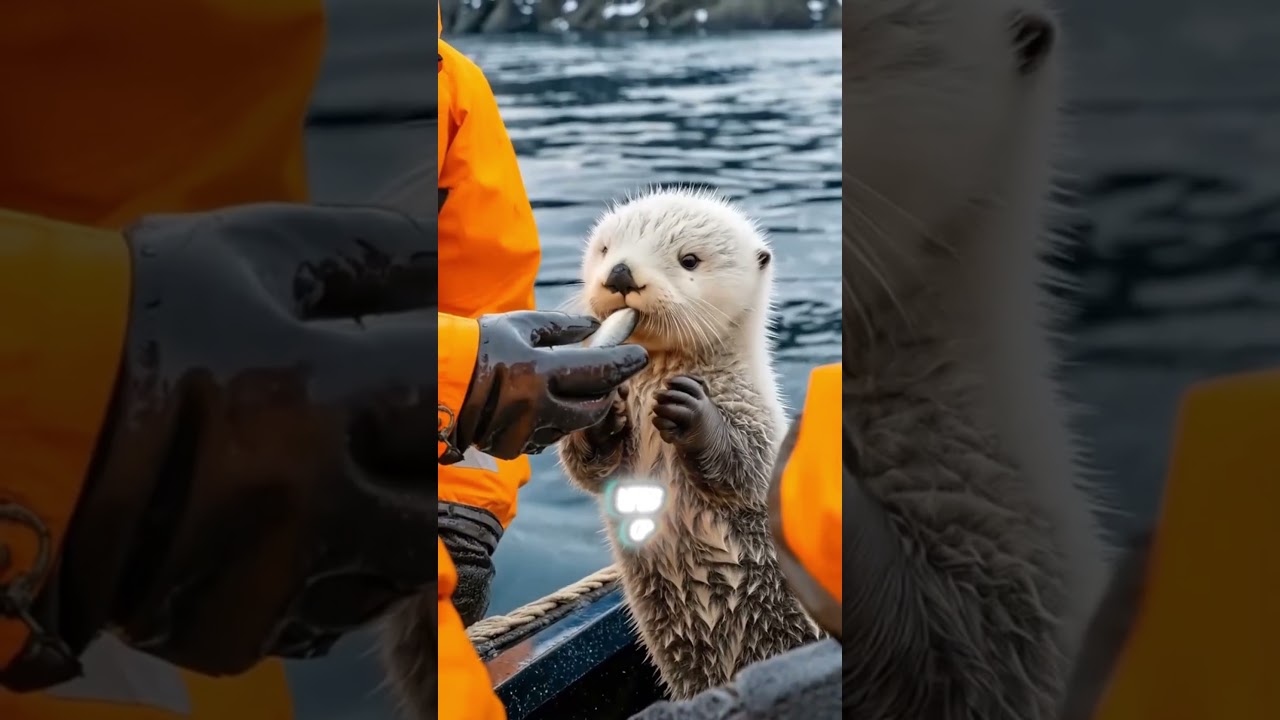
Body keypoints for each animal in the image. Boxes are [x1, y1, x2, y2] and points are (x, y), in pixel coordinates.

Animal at [556, 187, 822, 700]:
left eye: (689, 260)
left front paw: (689, 409)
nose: (621, 273)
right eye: (605, 249)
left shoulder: (755, 413)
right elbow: (589, 471)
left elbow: (747, 466)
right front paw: (606, 414)